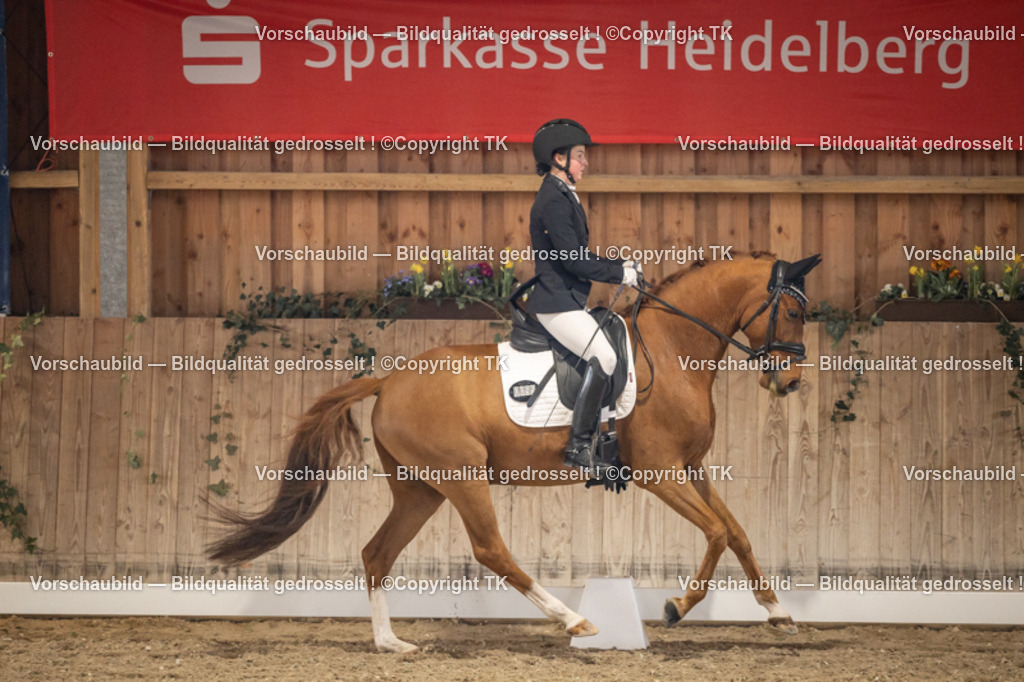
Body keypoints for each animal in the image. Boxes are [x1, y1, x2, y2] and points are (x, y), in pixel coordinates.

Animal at [208, 251, 821, 653]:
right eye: (793, 313)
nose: (791, 382)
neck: (671, 351)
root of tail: (390, 379)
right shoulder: (659, 472)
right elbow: (715, 532)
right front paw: (676, 607)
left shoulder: (691, 468)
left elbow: (737, 532)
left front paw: (779, 612)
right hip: (462, 479)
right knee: (491, 551)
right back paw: (575, 621)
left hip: (420, 490)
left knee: (377, 553)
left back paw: (390, 643)